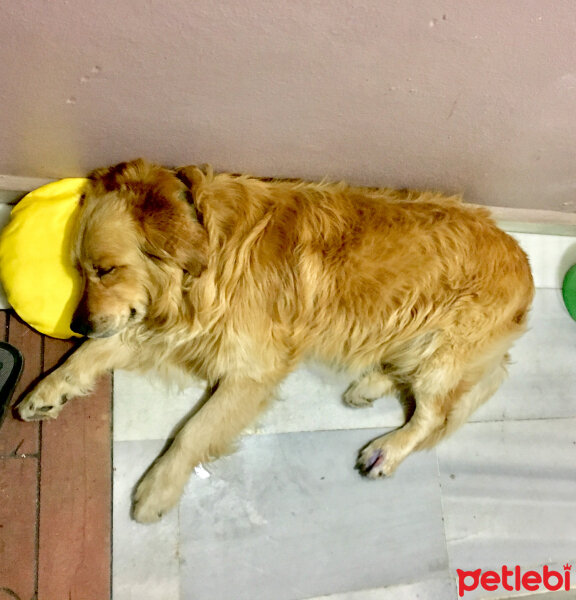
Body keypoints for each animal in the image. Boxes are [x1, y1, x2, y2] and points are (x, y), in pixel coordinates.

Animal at [15, 158, 532, 520]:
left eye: (106, 269)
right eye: (77, 269)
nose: (77, 324)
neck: (206, 250)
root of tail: (523, 265)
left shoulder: (250, 369)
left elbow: (191, 431)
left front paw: (158, 488)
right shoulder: (160, 322)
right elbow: (90, 353)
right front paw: (47, 390)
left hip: (443, 351)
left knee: (433, 415)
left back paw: (387, 448)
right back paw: (369, 384)